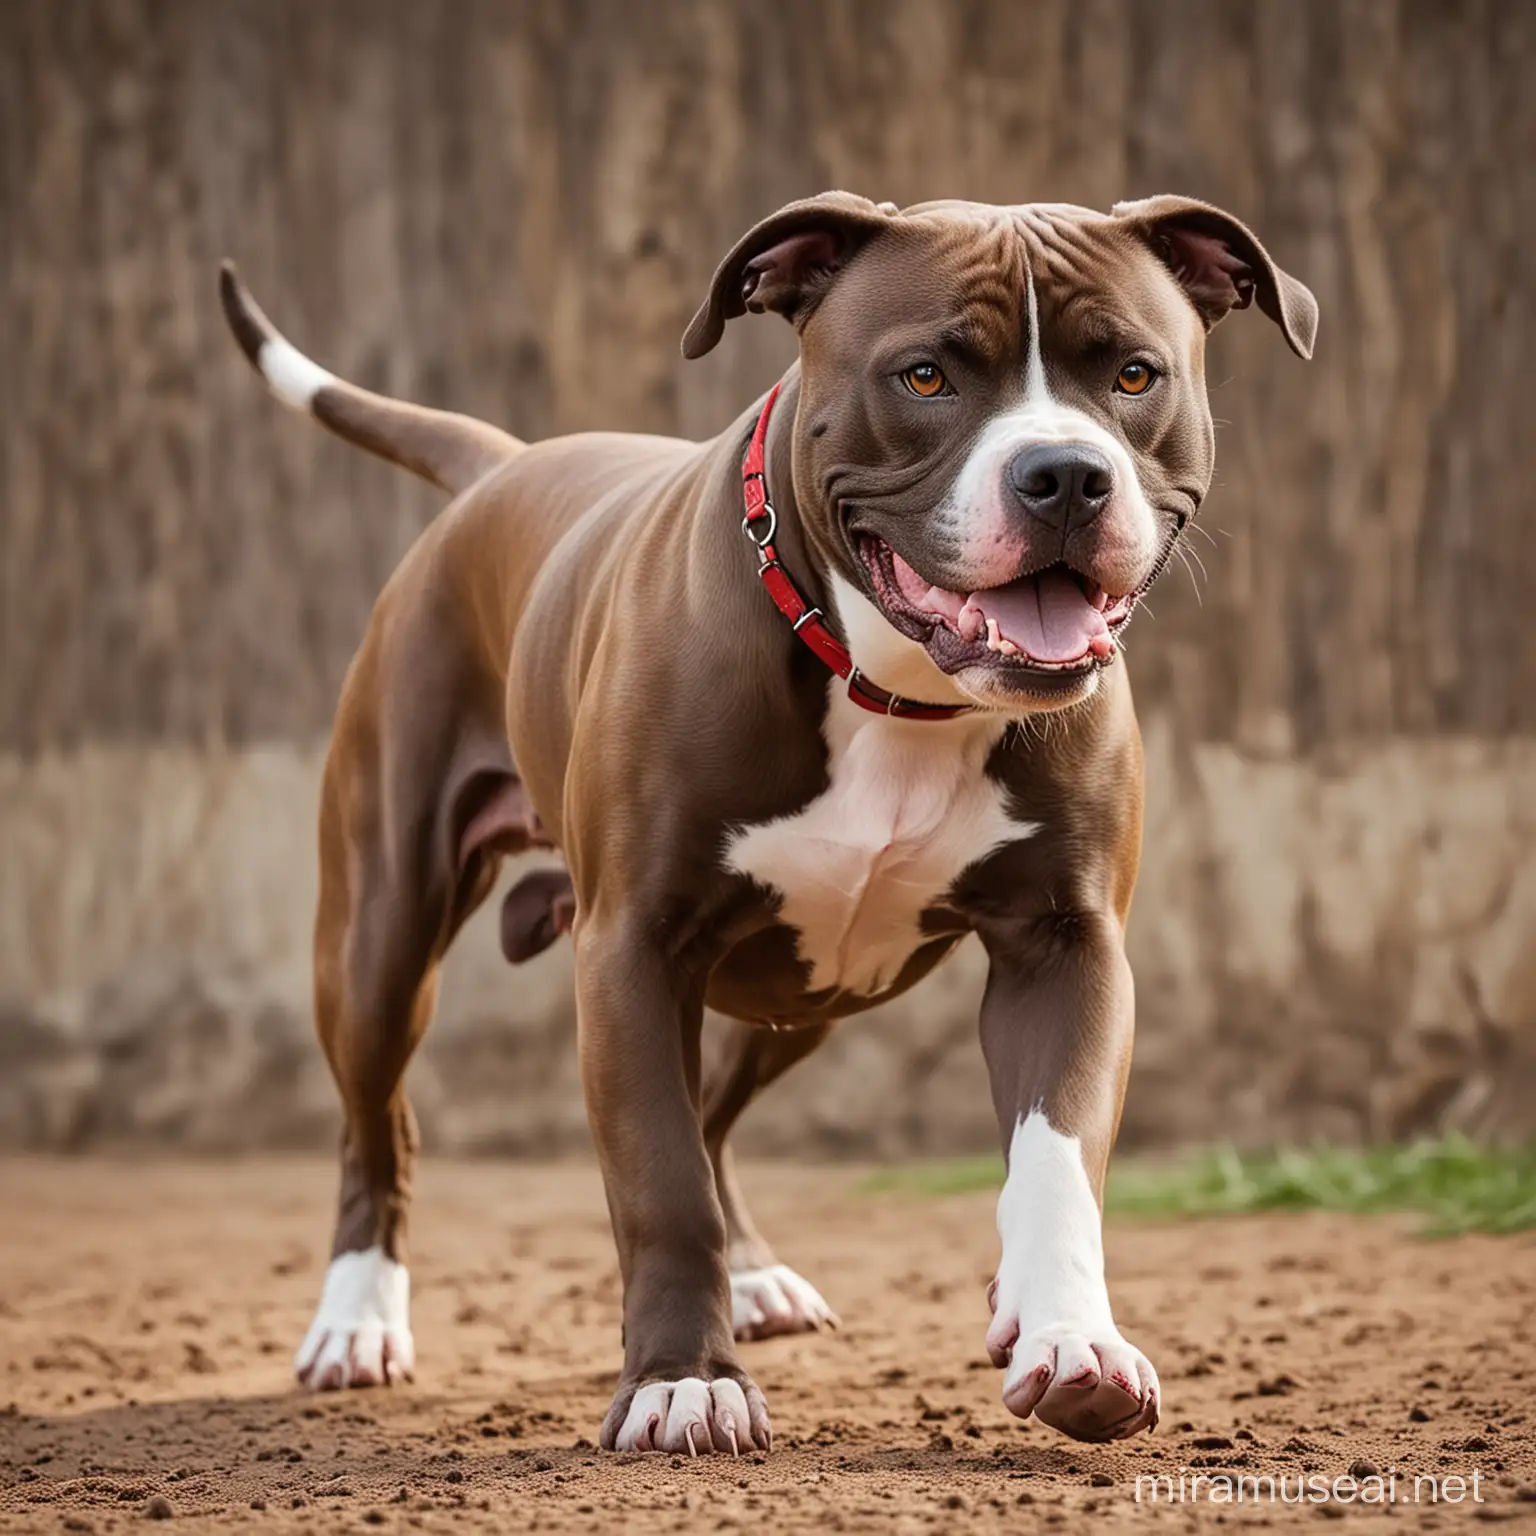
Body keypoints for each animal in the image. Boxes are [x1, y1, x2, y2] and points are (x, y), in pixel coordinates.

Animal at [222, 192, 1314, 1449]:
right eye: (927, 375)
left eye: (1134, 373)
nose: (1066, 477)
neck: (893, 687)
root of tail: (506, 468)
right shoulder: (633, 947)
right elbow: (658, 1180)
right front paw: (683, 1381)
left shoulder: (1066, 947)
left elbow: (1057, 1159)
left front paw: (1067, 1336)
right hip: (380, 939)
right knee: (383, 1124)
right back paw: (357, 1322)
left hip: (799, 989)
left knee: (711, 1111)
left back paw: (754, 1278)